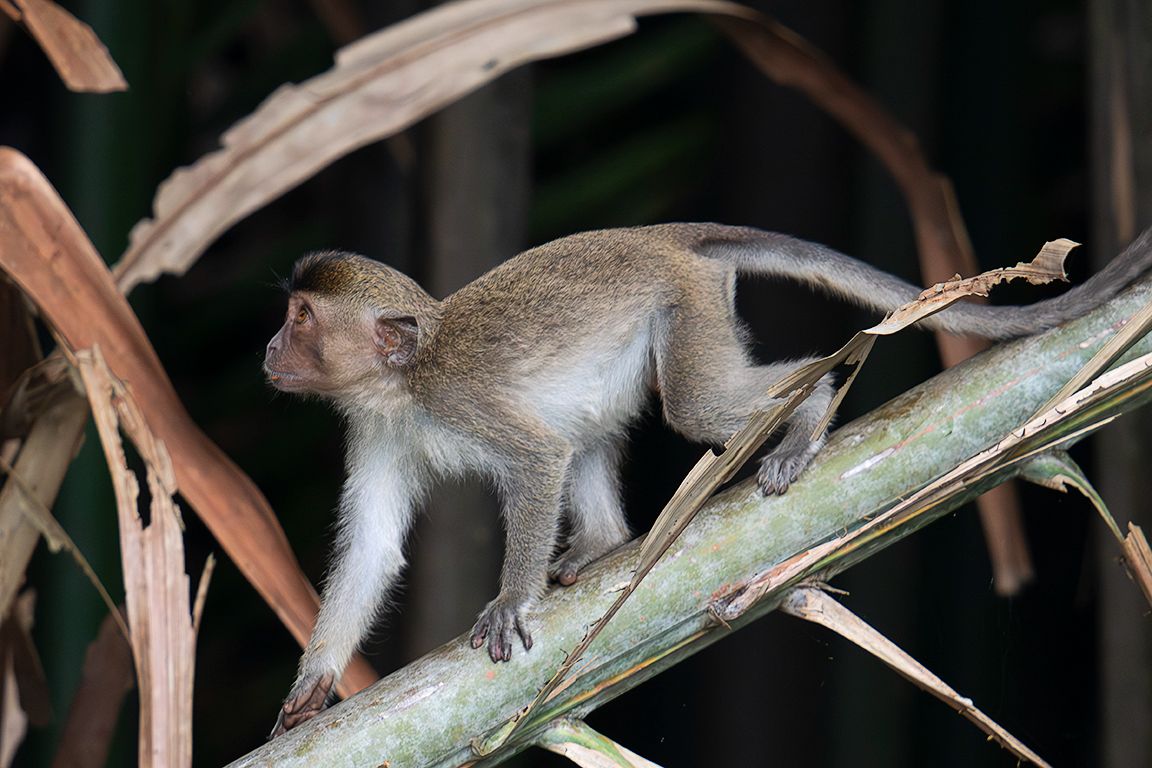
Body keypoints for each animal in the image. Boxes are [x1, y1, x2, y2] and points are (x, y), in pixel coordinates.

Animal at [263, 223, 1152, 736]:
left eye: (300, 319)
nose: (270, 349)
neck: (401, 384)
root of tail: (656, 233)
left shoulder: (455, 396)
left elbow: (536, 459)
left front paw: (512, 598)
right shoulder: (376, 426)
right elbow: (375, 547)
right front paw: (313, 684)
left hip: (683, 298)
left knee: (690, 406)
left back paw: (812, 409)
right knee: (594, 422)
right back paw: (607, 542)